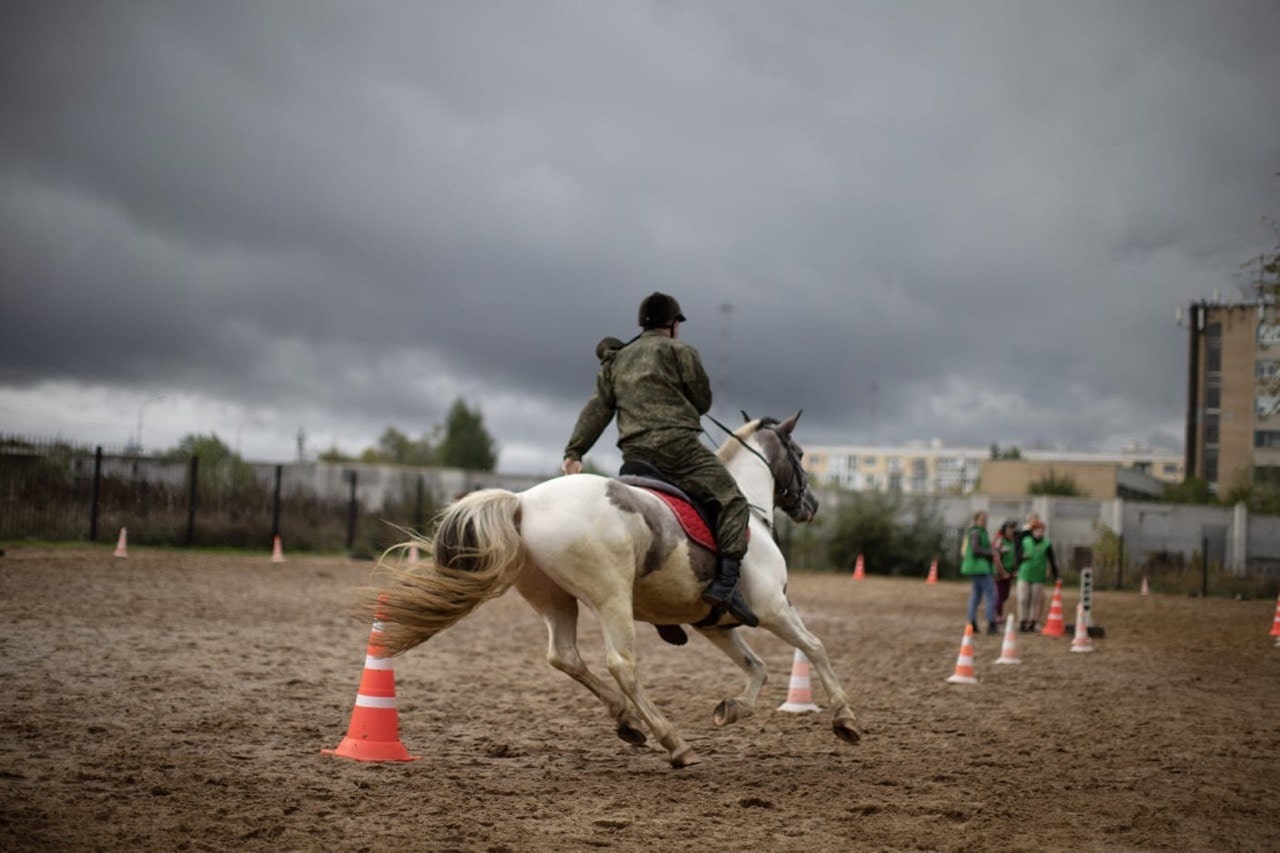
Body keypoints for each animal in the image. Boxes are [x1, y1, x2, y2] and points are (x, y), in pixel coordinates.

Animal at [360, 409, 860, 768]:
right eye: (799, 453)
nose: (812, 504)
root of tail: (523, 500)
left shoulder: (715, 625)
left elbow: (758, 668)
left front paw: (731, 709)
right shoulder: (773, 607)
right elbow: (815, 647)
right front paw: (846, 720)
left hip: (554, 598)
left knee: (564, 656)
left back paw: (627, 722)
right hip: (611, 597)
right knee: (622, 664)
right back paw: (674, 742)